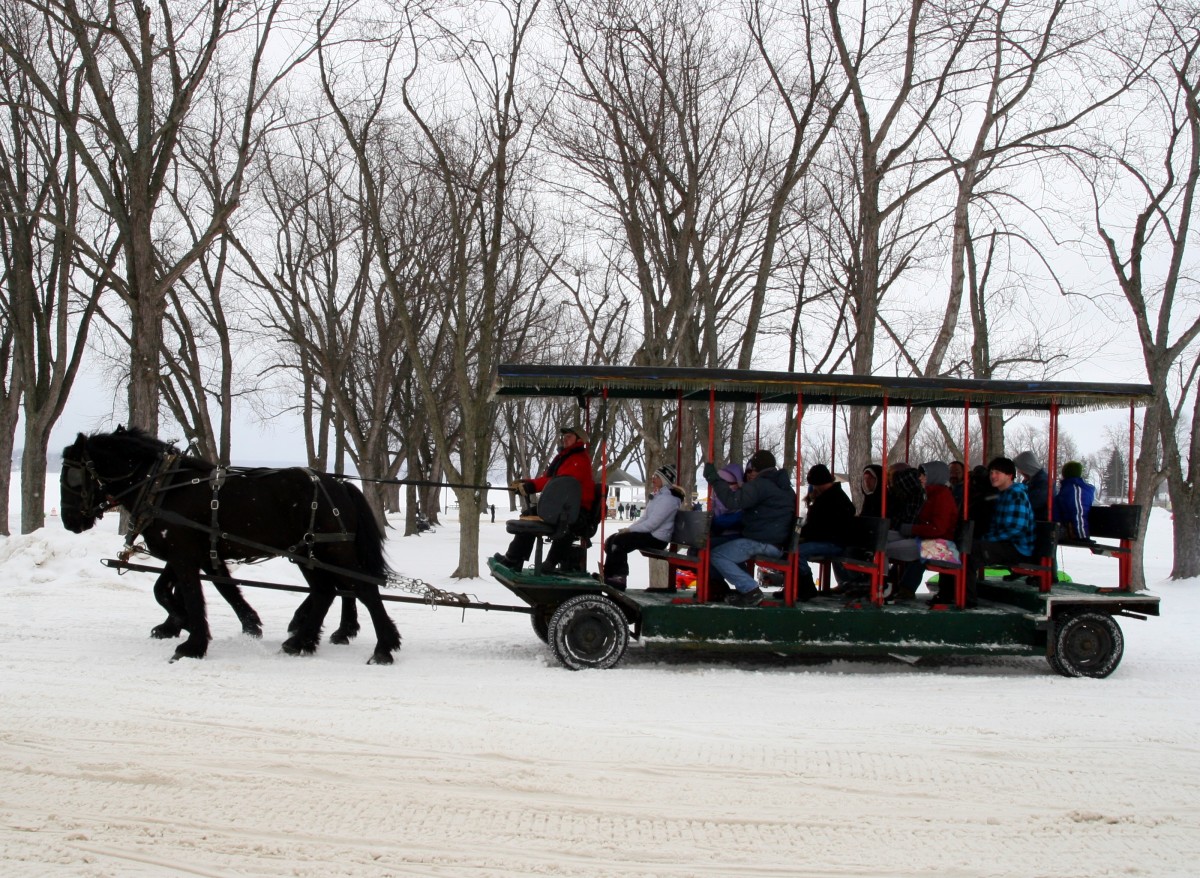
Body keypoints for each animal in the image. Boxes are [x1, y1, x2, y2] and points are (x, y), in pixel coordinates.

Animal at [62, 427, 398, 666]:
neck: (161, 487)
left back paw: (383, 647)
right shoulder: (194, 553)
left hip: (334, 550)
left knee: (363, 589)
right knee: (325, 591)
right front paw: (189, 624)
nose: (69, 521)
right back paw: (300, 642)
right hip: (307, 552)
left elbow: (192, 594)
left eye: (73, 477)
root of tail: (340, 484)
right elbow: (195, 588)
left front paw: (192, 644)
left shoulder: (185, 553)